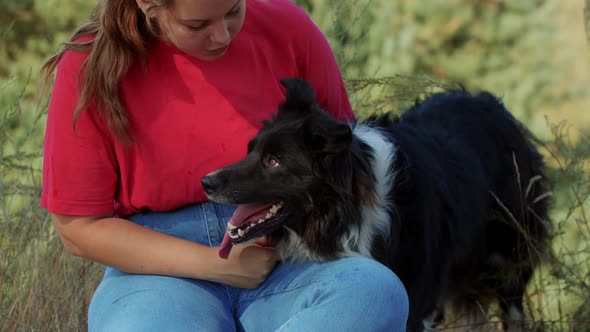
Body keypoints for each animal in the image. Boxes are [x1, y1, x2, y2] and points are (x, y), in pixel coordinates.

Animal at [201, 77, 552, 330]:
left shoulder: (417, 301)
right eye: (250, 150)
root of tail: (490, 104)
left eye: (273, 162)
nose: (206, 183)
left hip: (509, 259)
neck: (348, 210)